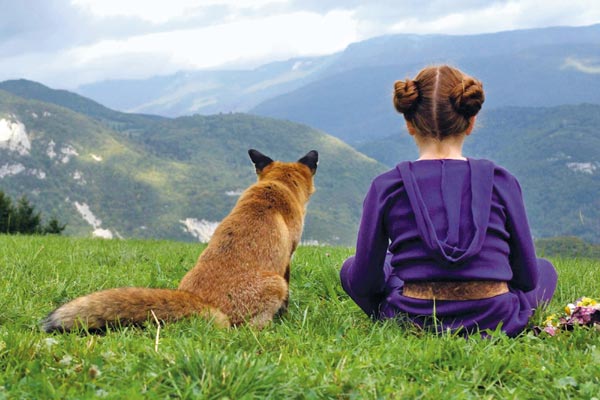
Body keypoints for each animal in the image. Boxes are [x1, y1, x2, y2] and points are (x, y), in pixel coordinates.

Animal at [43, 149, 318, 332]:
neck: (274, 187)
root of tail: (204, 303)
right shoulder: (287, 260)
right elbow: (288, 294)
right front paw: (286, 316)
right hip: (273, 285)